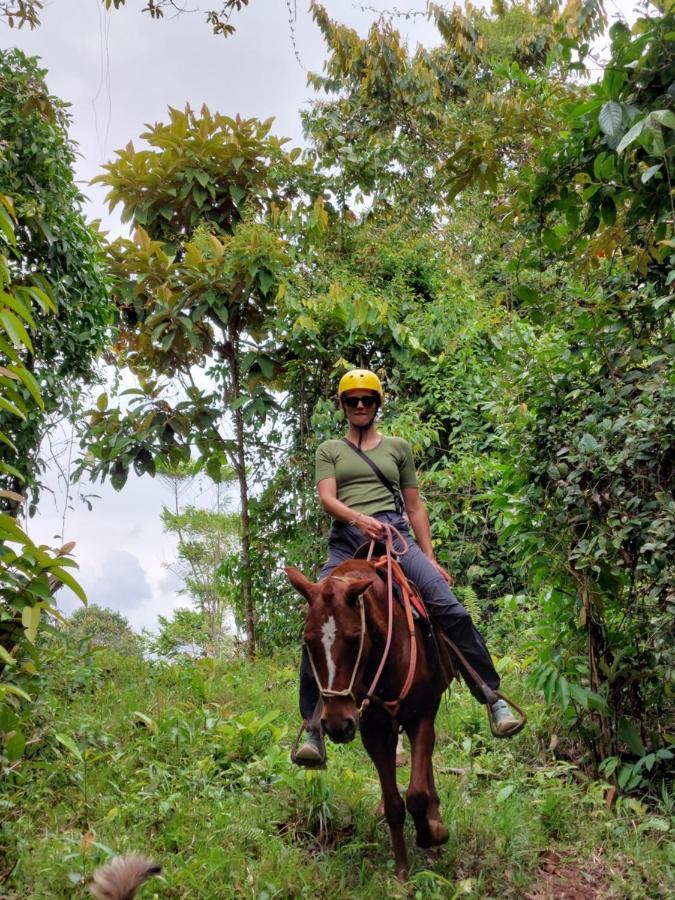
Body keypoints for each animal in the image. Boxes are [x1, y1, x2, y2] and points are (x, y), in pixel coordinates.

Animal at [286, 556, 454, 880]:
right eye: (307, 642)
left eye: (354, 639)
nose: (337, 724)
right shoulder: (372, 731)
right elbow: (393, 804)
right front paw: (402, 871)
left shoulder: (422, 715)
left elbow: (415, 794)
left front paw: (432, 834)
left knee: (425, 757)